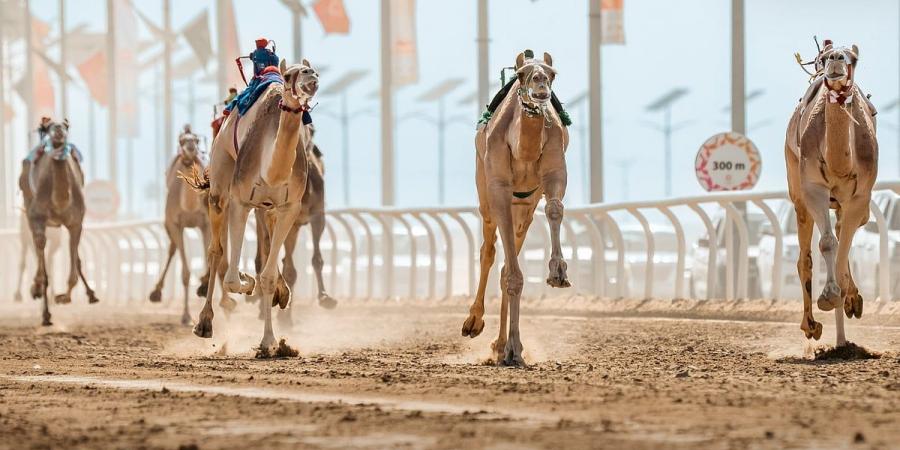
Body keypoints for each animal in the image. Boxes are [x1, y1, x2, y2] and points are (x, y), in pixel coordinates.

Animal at [19, 119, 98, 324]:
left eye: (65, 125)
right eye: (50, 127)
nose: (58, 131)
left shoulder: (76, 223)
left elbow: (74, 265)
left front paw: (64, 297)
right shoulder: (37, 217)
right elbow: (42, 258)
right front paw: (45, 313)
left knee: (73, 257)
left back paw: (90, 294)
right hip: (29, 209)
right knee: (38, 248)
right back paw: (37, 290)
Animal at [148, 128, 234, 326]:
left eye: (196, 140)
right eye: (181, 141)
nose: (190, 148)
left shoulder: (205, 224)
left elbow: (211, 258)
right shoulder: (175, 224)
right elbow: (185, 273)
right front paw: (186, 316)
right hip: (169, 226)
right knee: (172, 249)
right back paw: (156, 292)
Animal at [191, 58, 320, 356]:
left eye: (313, 70)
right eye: (289, 75)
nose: (311, 77)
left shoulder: (289, 207)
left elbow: (268, 275)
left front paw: (270, 341)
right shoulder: (240, 201)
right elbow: (232, 278)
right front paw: (246, 281)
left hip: (268, 207)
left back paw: (281, 293)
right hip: (220, 179)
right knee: (216, 250)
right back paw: (204, 323)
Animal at [464, 50, 568, 366]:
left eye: (552, 73)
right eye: (523, 75)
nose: (540, 85)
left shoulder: (554, 171)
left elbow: (556, 208)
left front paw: (558, 272)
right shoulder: (498, 188)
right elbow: (512, 274)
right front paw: (512, 348)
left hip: (524, 206)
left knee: (506, 260)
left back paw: (499, 346)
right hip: (485, 193)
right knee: (488, 251)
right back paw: (474, 323)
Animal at [784, 42, 876, 346]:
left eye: (854, 59)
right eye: (823, 59)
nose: (836, 59)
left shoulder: (860, 198)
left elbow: (843, 244)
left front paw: (845, 297)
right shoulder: (813, 187)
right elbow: (826, 243)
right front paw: (828, 296)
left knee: (842, 231)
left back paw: (849, 307)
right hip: (796, 184)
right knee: (805, 257)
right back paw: (813, 326)